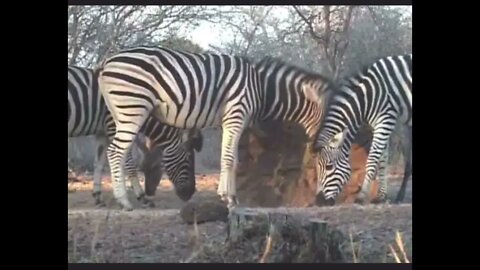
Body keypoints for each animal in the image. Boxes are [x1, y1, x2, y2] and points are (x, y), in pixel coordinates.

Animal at [67, 65, 202, 209]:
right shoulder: (113, 126)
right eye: (189, 159)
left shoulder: (102, 133)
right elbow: (128, 163)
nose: (190, 193)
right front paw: (139, 196)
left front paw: (98, 197)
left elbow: (98, 164)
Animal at [93, 47, 334, 211]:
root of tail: (107, 61)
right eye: (328, 163)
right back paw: (124, 201)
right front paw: (228, 199)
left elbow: (232, 159)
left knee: (118, 153)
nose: (324, 201)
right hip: (132, 109)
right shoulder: (236, 115)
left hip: (119, 113)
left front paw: (229, 196)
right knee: (115, 152)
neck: (262, 88)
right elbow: (228, 159)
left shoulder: (231, 122)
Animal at [312, 53, 412, 206]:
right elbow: (382, 159)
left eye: (329, 167)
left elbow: (372, 158)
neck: (367, 97)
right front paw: (381, 196)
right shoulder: (378, 124)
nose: (319, 201)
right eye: (317, 168)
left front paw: (362, 196)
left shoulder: (385, 119)